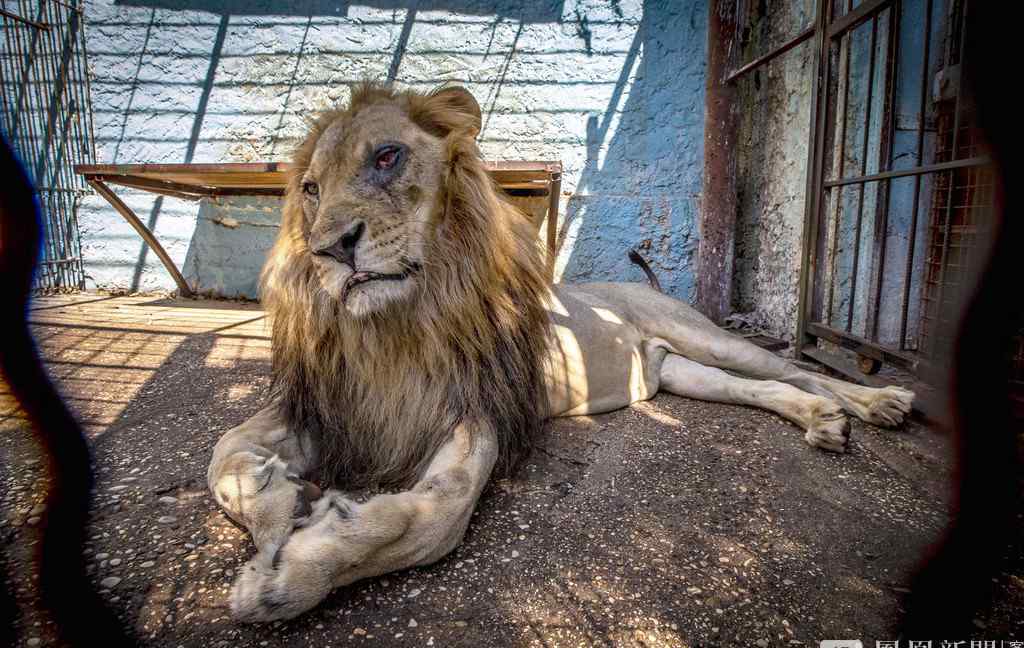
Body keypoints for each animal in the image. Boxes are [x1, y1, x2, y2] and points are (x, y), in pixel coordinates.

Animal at [205, 81, 913, 622]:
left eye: (386, 157)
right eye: (310, 190)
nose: (329, 250)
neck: (393, 328)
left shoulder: (475, 410)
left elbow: (435, 518)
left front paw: (295, 571)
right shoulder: (330, 406)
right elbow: (224, 457)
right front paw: (280, 504)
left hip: (705, 335)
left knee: (795, 368)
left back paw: (877, 401)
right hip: (682, 376)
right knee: (766, 389)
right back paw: (823, 423)